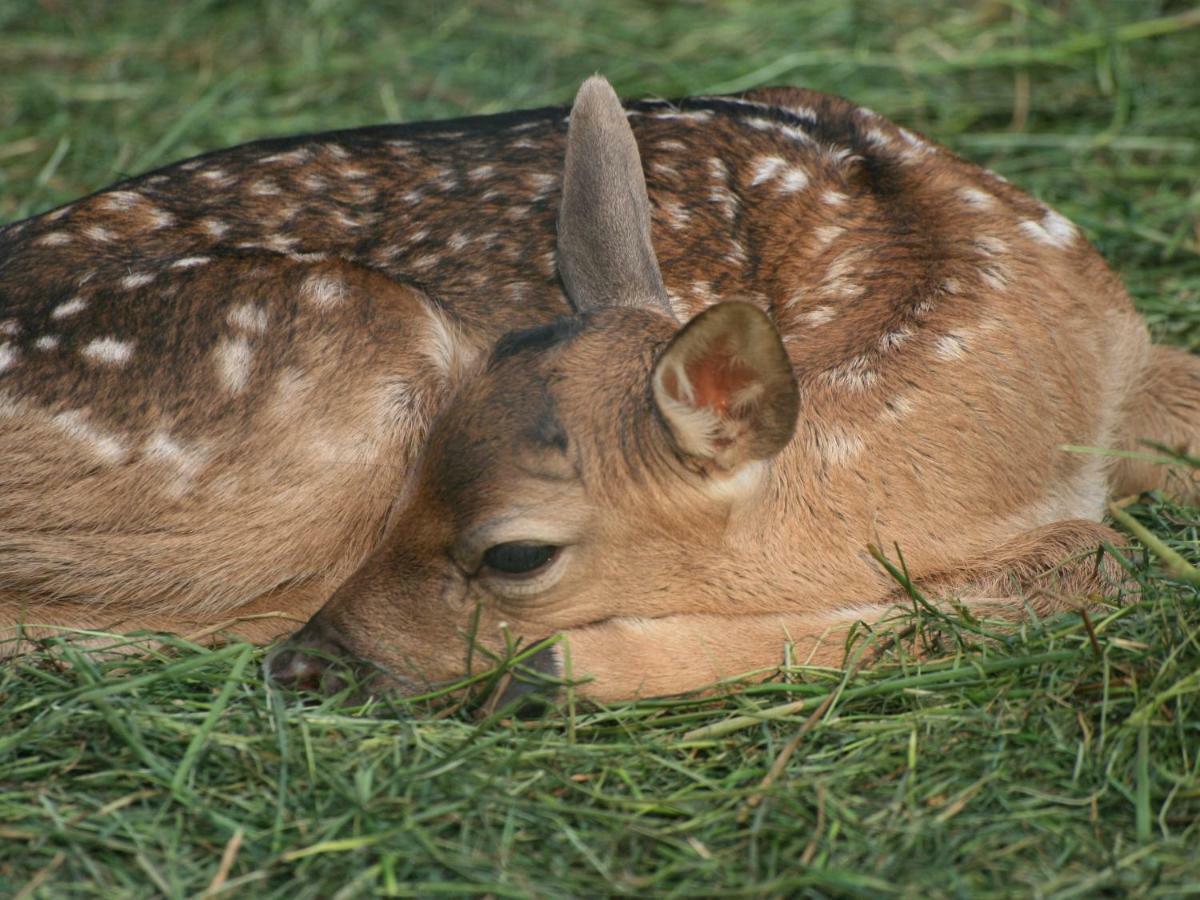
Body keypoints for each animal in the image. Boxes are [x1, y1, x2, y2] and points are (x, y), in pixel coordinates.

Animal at [0, 77, 1195, 705]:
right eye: (419, 489)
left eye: (517, 554)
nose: (313, 662)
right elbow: (1084, 558)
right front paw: (572, 665)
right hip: (356, 355)